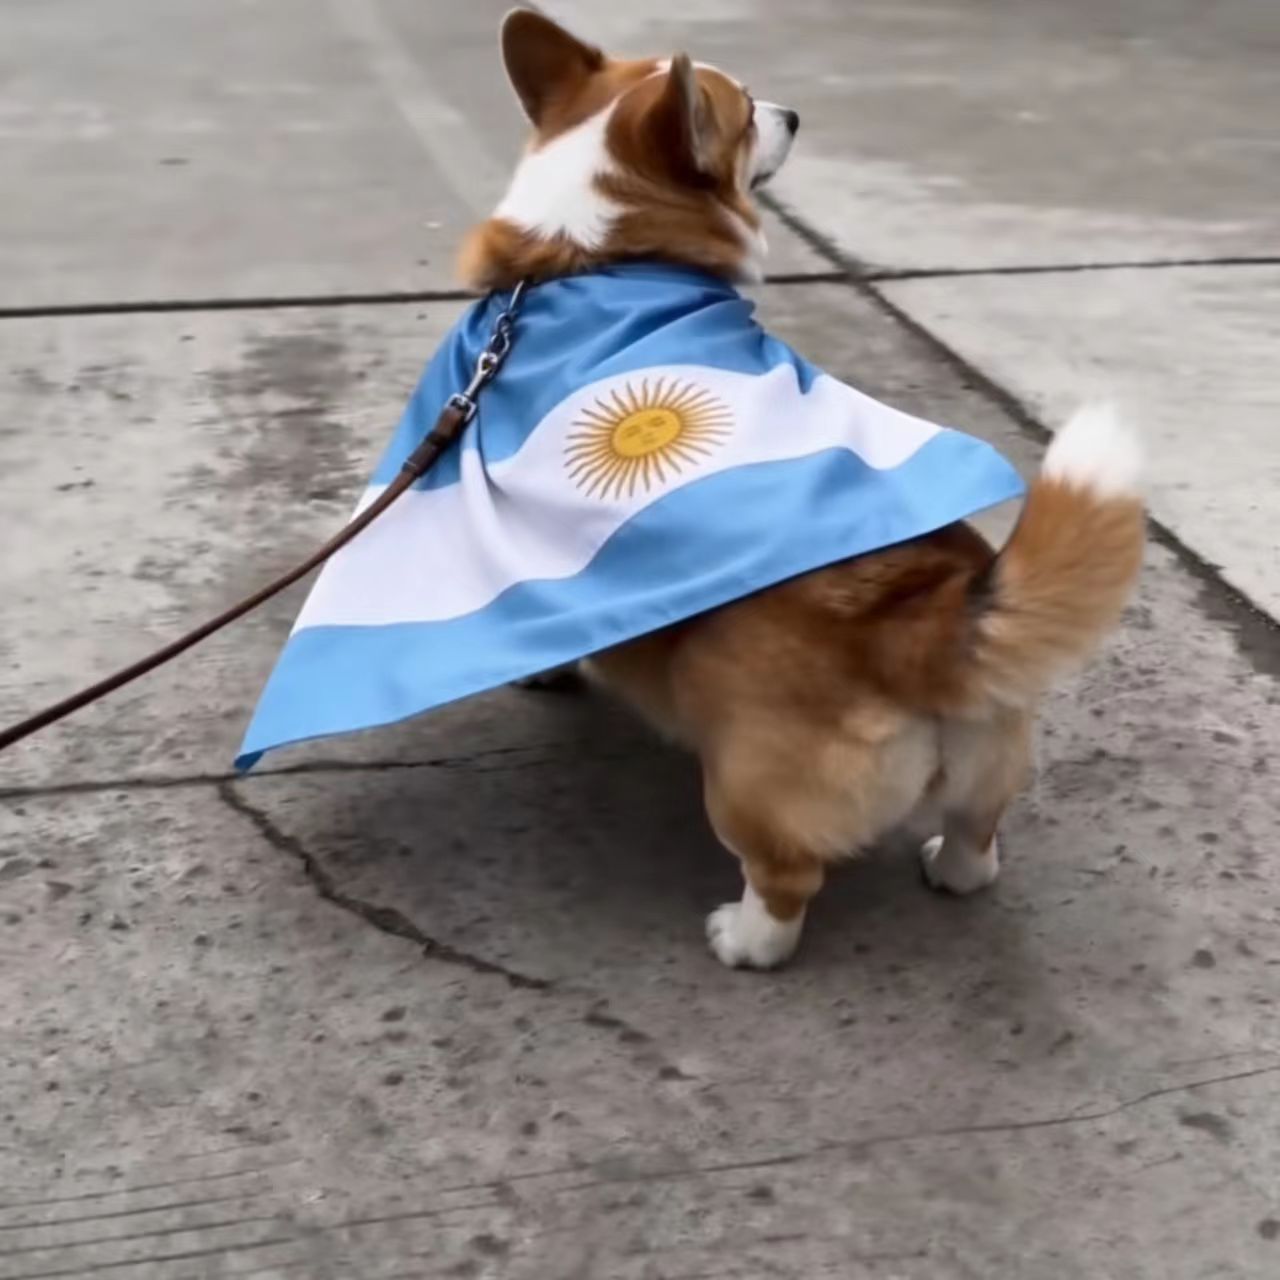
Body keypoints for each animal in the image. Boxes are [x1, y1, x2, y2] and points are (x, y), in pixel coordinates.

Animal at [461, 10, 1145, 970]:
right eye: (748, 113)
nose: (793, 113)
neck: (590, 251)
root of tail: (918, 613)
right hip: (991, 754)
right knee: (977, 840)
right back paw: (951, 867)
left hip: (743, 784)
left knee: (785, 881)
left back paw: (743, 939)